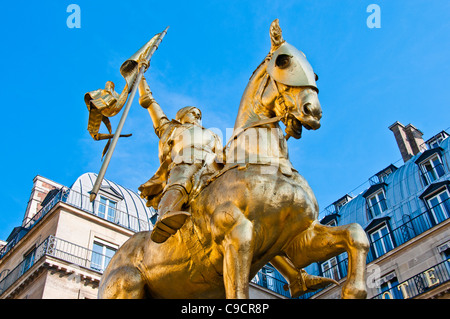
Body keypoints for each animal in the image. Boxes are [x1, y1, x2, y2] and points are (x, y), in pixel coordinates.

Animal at [98, 20, 370, 300]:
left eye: (315, 75)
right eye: (283, 61)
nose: (312, 111)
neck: (266, 163)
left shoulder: (300, 237)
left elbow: (356, 233)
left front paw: (353, 290)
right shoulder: (237, 236)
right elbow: (238, 293)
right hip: (127, 287)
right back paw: (166, 222)